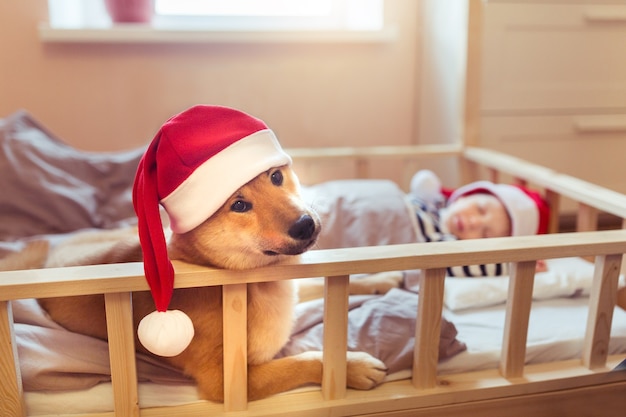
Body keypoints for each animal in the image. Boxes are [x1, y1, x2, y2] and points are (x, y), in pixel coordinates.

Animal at [31, 164, 388, 402]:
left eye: (276, 177)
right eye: (239, 205)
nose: (305, 225)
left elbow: (318, 284)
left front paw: (378, 278)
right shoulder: (228, 379)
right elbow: (305, 361)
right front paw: (352, 366)